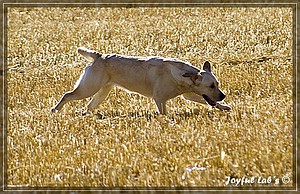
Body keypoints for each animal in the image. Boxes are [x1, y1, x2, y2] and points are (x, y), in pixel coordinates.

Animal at [51, 47, 231, 114]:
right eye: (211, 85)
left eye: (217, 84)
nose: (223, 95)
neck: (180, 75)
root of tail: (99, 56)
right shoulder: (160, 99)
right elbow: (164, 113)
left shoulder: (189, 94)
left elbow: (207, 101)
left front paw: (224, 107)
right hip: (88, 88)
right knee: (67, 95)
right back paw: (55, 109)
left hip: (101, 92)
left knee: (89, 106)